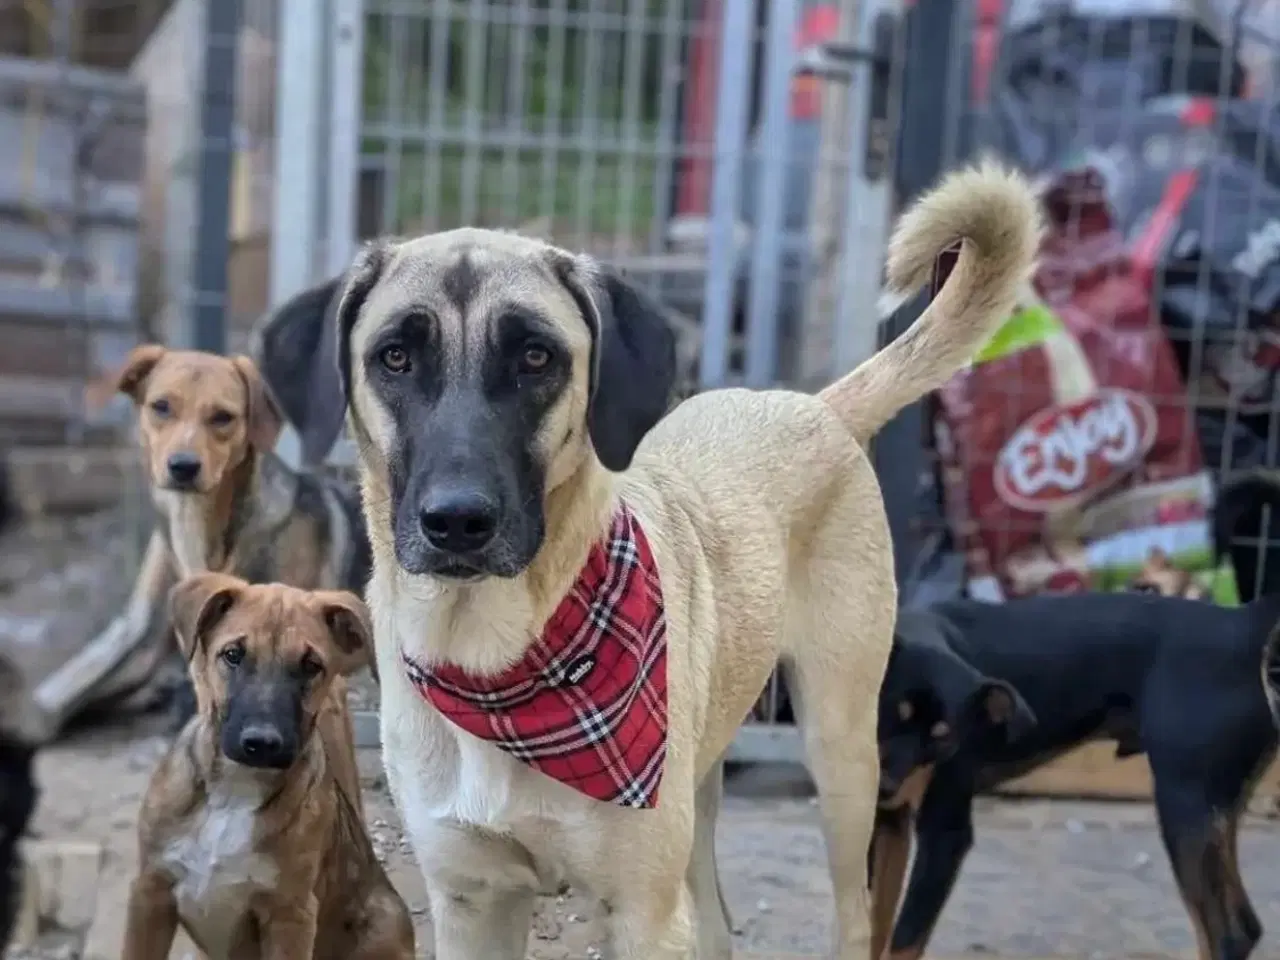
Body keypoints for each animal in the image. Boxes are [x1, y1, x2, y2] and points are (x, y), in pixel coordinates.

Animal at [120, 576, 409, 960]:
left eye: (311, 666)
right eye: (233, 655)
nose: (262, 743)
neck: (235, 790)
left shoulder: (290, 914)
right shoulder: (150, 891)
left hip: (383, 925)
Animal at [296, 161, 1039, 957]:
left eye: (536, 357)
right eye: (394, 358)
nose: (457, 520)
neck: (497, 662)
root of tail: (814, 406)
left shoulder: (643, 913)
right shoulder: (471, 904)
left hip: (843, 758)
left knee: (854, 912)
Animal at [870, 593, 1280, 960]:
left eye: (943, 737)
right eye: (886, 710)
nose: (884, 786)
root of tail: (1244, 627)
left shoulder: (944, 838)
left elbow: (903, 941)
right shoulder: (888, 824)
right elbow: (876, 923)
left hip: (1184, 804)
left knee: (1230, 936)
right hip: (1213, 811)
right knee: (1241, 928)